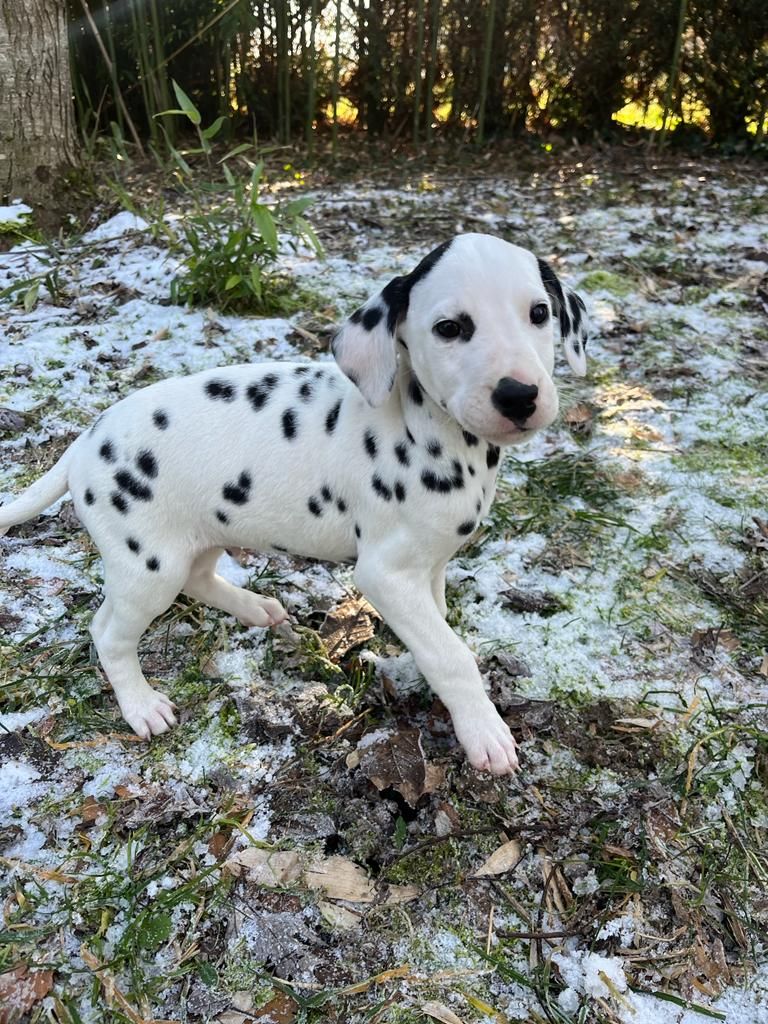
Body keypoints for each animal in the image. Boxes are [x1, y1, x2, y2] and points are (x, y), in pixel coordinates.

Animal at [0, 234, 589, 774]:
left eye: (539, 313)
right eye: (449, 328)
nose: (519, 395)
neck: (427, 427)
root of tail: (84, 443)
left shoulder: (431, 563)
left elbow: (437, 626)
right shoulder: (386, 574)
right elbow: (450, 655)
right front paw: (484, 731)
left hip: (201, 533)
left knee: (198, 578)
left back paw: (255, 608)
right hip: (147, 566)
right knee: (109, 633)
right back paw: (142, 705)